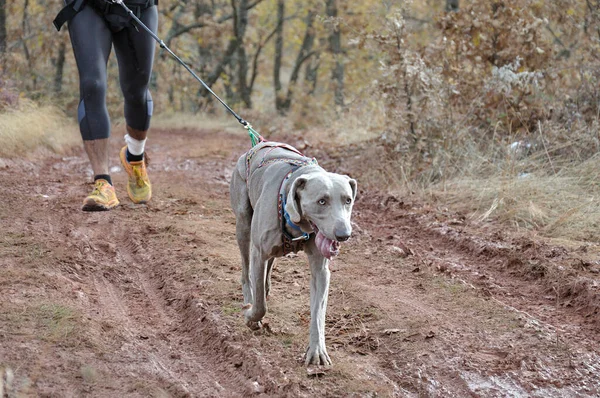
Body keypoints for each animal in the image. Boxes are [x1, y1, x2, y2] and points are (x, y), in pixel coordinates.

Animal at [231, 141, 358, 366]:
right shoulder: (258, 253)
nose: (344, 235)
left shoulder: (321, 271)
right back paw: (249, 296)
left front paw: (317, 351)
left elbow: (318, 312)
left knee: (267, 269)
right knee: (247, 272)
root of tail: (257, 144)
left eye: (348, 200)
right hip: (243, 224)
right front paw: (251, 316)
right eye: (322, 201)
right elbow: (260, 305)